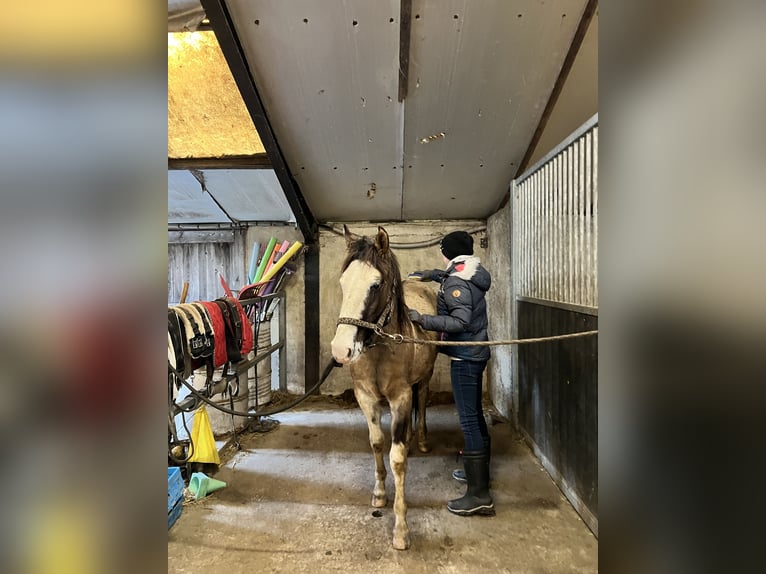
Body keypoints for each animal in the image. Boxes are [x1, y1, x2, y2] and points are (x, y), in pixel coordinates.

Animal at [332, 226, 440, 552]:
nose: (340, 350)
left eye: (375, 285)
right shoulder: (365, 398)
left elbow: (398, 459)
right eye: (343, 282)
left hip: (423, 380)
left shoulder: (401, 398)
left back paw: (422, 440)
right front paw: (380, 493)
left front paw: (401, 530)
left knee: (422, 403)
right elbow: (378, 443)